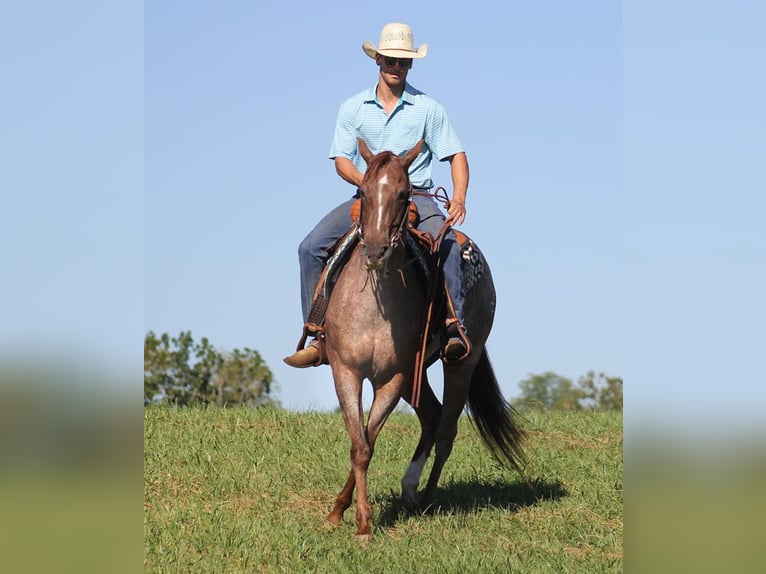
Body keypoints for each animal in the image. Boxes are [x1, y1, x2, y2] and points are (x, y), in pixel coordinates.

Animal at [324, 138, 528, 540]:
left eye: (404, 194)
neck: (374, 306)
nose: (375, 250)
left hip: (460, 363)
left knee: (447, 428)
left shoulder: (393, 377)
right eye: (364, 192)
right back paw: (409, 490)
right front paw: (340, 512)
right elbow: (360, 441)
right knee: (432, 417)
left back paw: (429, 500)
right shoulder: (347, 371)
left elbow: (367, 443)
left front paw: (364, 525)